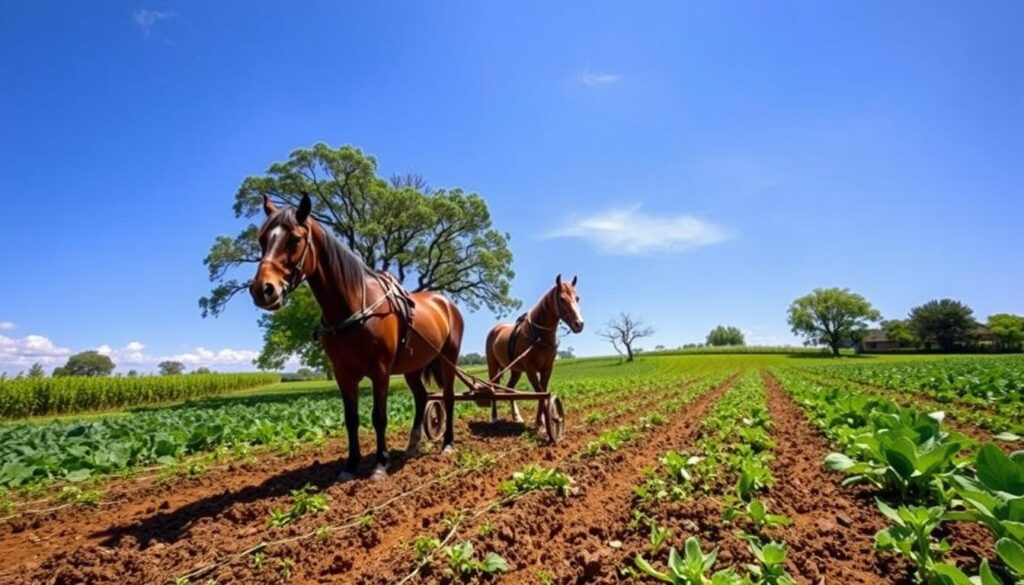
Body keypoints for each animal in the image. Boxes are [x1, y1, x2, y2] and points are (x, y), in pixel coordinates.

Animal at [250, 195, 464, 481]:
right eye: (262, 239)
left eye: (294, 239)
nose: (263, 290)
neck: (352, 308)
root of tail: (445, 302)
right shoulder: (343, 373)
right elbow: (351, 419)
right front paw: (350, 465)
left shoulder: (380, 371)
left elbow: (379, 416)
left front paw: (380, 464)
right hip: (413, 367)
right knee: (422, 398)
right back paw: (412, 445)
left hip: (448, 359)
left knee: (448, 397)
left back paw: (448, 443)